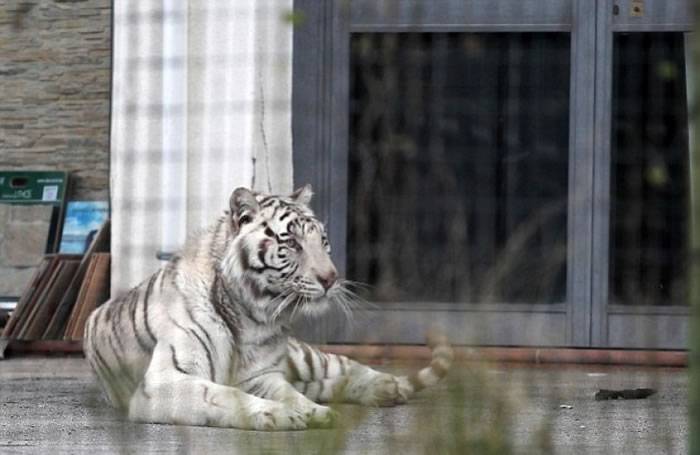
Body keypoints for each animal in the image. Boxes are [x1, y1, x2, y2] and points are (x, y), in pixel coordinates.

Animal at [83, 185, 454, 432]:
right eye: (291, 242)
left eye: (322, 241)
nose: (331, 278)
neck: (248, 315)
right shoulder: (164, 381)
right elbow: (224, 394)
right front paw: (285, 415)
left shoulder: (263, 376)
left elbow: (291, 394)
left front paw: (310, 412)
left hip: (302, 356)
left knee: (342, 366)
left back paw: (387, 386)